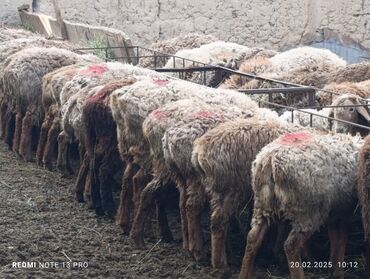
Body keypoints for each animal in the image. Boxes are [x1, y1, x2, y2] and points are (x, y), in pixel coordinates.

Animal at [191, 117, 298, 270]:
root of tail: (199, 151)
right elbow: (282, 225)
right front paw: (278, 254)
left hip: (211, 187)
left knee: (202, 211)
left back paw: (208, 253)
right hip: (232, 188)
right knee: (218, 221)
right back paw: (220, 265)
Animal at [240, 133, 362, 279]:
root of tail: (270, 160)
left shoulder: (334, 212)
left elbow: (334, 237)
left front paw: (333, 266)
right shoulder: (346, 211)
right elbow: (342, 239)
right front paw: (339, 271)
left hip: (262, 204)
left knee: (252, 238)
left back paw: (244, 274)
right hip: (307, 211)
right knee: (291, 246)